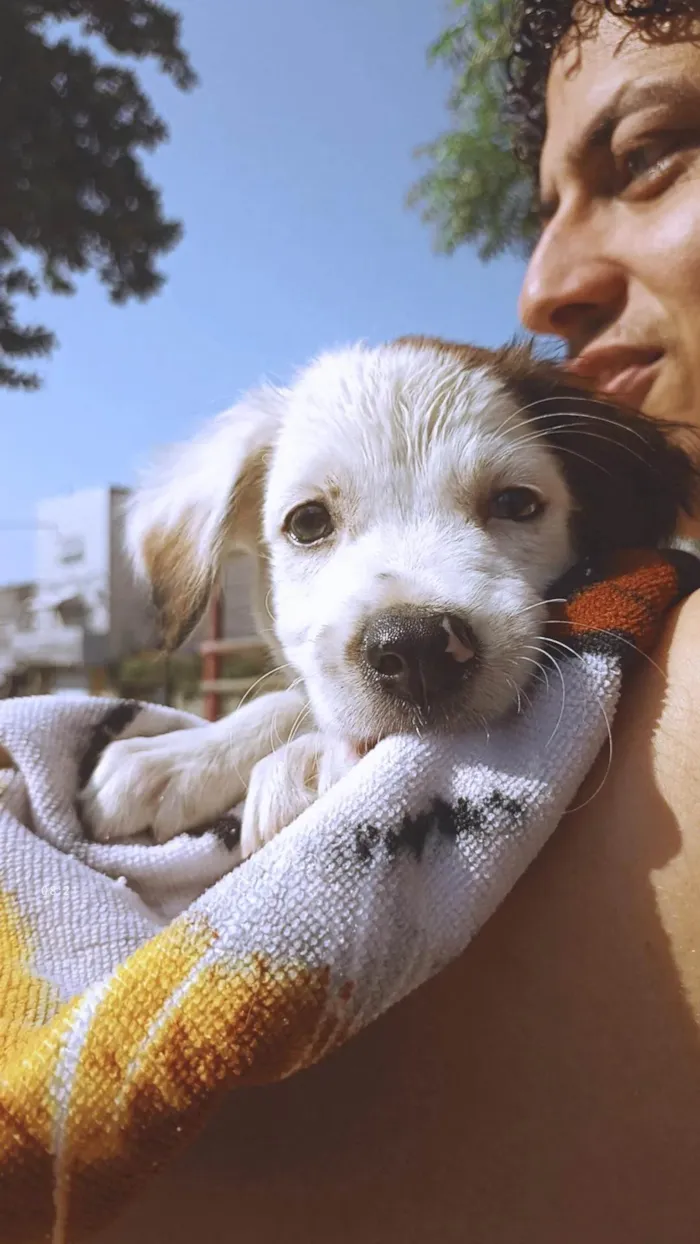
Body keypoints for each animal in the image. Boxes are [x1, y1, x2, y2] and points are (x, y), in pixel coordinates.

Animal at [80, 335, 696, 850]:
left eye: (517, 503)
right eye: (308, 522)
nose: (418, 649)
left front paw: (304, 763)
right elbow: (296, 695)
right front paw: (181, 758)